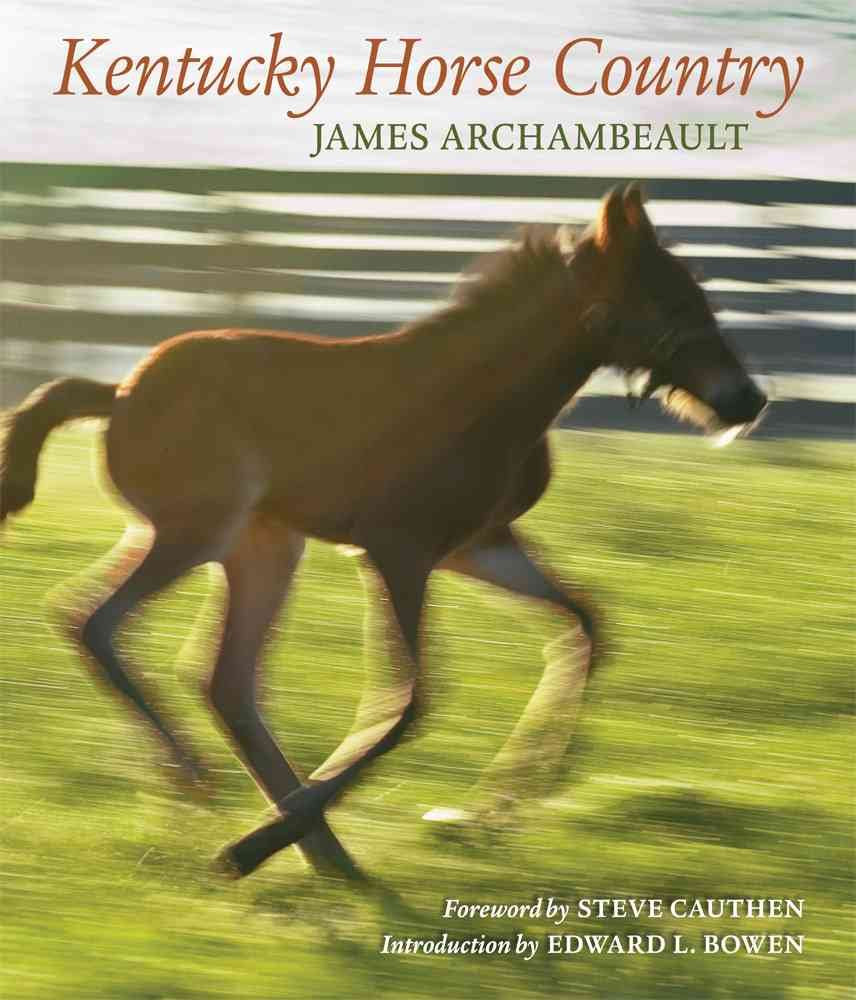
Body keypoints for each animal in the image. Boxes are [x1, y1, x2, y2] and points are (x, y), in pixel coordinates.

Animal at [0, 184, 767, 881]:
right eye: (666, 301)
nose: (748, 400)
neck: (482, 395)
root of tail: (119, 393)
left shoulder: (476, 546)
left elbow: (585, 623)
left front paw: (499, 811)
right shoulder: (398, 553)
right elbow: (408, 702)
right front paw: (252, 847)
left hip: (263, 546)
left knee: (225, 681)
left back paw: (321, 851)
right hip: (199, 532)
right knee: (96, 622)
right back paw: (211, 792)